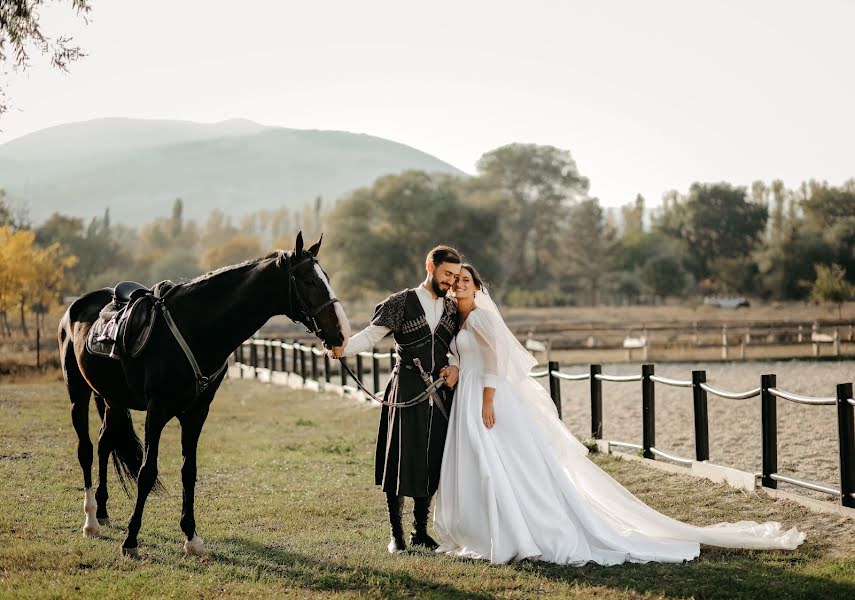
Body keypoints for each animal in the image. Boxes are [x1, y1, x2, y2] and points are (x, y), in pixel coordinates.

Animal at [58, 231, 350, 556]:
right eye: (309, 281)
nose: (341, 334)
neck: (196, 329)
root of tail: (77, 307)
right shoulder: (157, 410)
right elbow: (148, 472)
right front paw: (131, 541)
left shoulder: (197, 412)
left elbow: (190, 470)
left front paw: (191, 536)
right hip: (78, 393)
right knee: (85, 450)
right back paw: (90, 520)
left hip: (112, 399)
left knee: (104, 443)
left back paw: (103, 510)